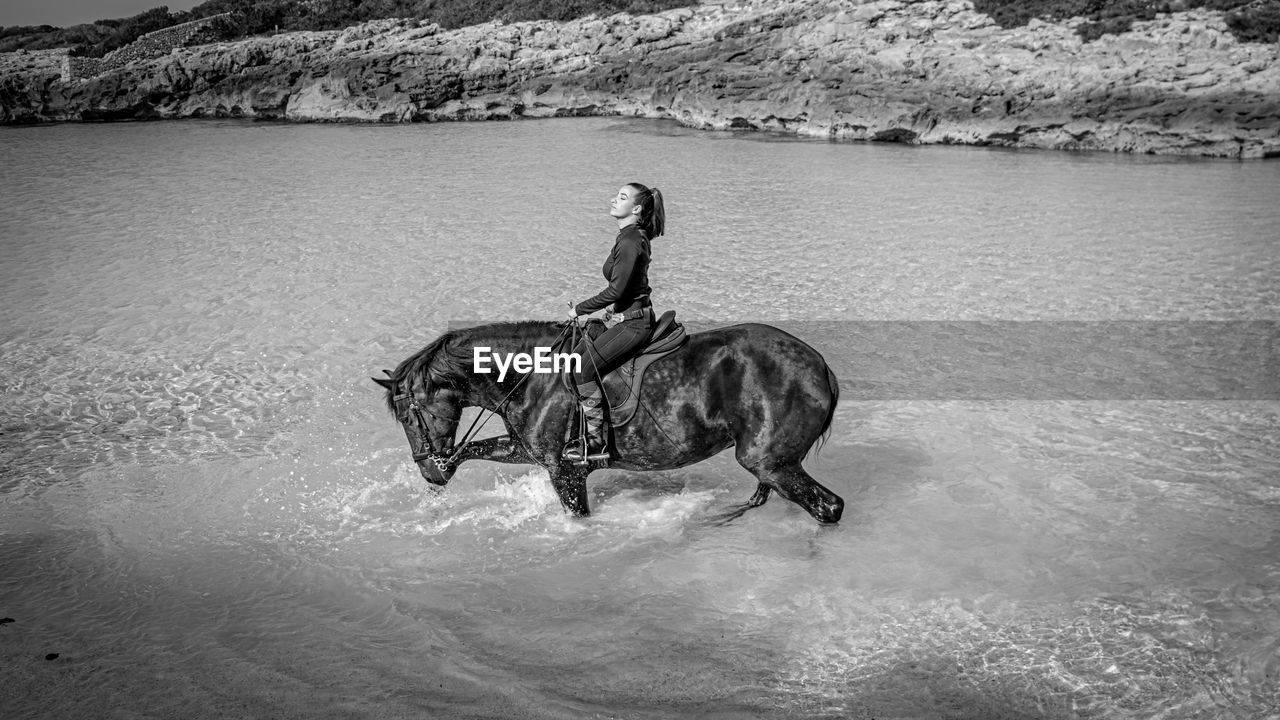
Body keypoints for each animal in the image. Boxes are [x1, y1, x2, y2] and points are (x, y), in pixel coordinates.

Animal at [373, 319, 844, 520]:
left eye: (409, 415)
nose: (430, 474)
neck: (531, 372)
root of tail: (820, 366)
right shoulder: (526, 450)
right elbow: (473, 448)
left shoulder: (564, 471)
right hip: (771, 464)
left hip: (770, 462)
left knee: (829, 508)